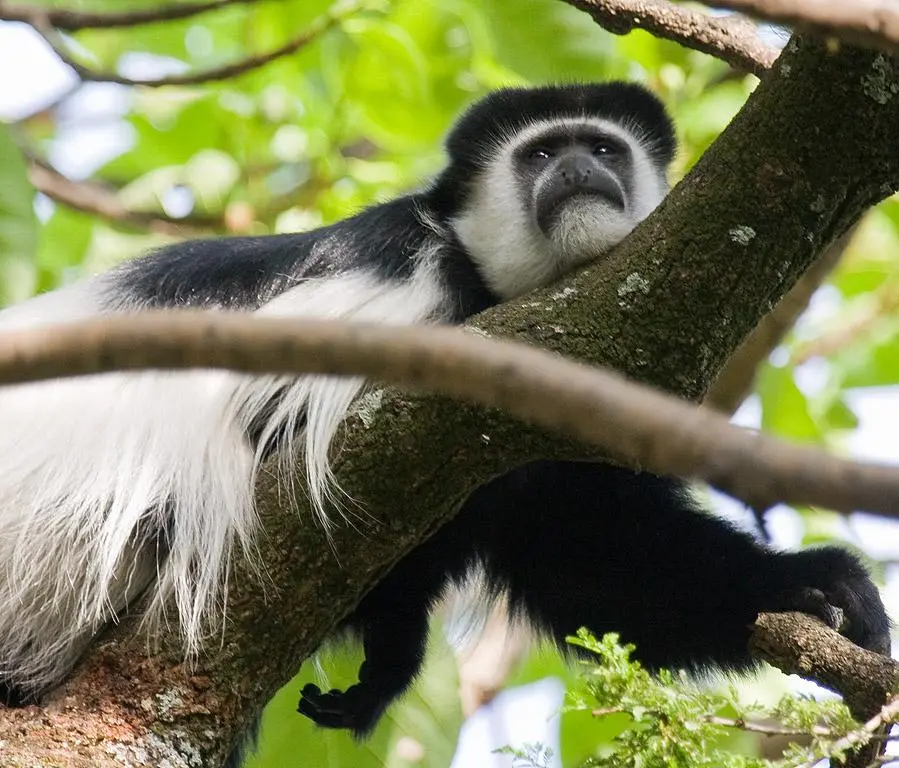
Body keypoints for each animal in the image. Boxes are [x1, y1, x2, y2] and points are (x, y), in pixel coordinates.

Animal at [0, 83, 888, 745]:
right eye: (540, 152)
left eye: (602, 148)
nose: (575, 166)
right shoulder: (412, 296)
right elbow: (297, 457)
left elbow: (596, 559)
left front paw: (814, 585)